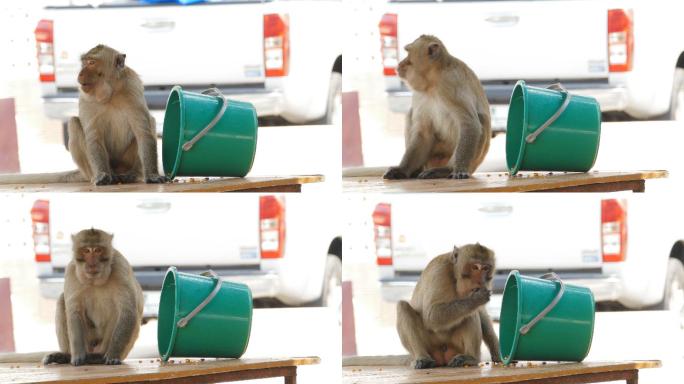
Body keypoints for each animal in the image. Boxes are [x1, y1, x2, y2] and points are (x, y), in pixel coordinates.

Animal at [0, 44, 168, 185]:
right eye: (84, 62)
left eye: (91, 62)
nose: (80, 73)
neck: (110, 93)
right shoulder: (85, 98)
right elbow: (93, 137)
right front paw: (102, 176)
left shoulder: (133, 88)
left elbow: (143, 133)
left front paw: (152, 175)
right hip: (91, 167)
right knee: (74, 123)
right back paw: (100, 176)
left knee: (151, 121)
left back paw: (133, 174)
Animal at [39, 228, 144, 366]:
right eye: (87, 251)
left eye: (98, 250)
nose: (92, 263)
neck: (95, 281)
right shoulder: (71, 271)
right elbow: (74, 312)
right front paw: (77, 356)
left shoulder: (121, 268)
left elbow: (128, 312)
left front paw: (113, 355)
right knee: (62, 301)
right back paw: (66, 356)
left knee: (118, 312)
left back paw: (99, 356)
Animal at [384, 35, 492, 179]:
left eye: (408, 53)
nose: (400, 63)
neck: (433, 83)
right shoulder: (419, 95)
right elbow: (423, 132)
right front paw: (402, 169)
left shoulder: (451, 83)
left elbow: (470, 124)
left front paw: (458, 169)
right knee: (410, 114)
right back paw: (416, 170)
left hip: (471, 164)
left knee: (481, 119)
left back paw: (446, 169)